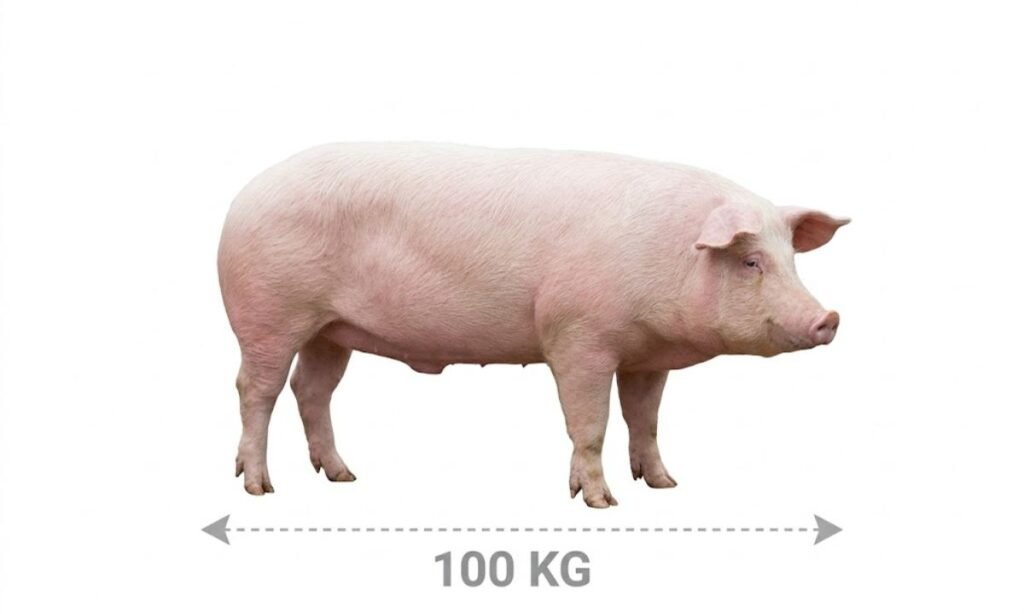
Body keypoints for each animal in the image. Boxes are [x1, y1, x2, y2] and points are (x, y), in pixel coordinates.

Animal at [217, 143, 849, 507]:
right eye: (750, 261)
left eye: (791, 260)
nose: (830, 317)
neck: (670, 256)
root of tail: (245, 196)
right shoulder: (578, 336)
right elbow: (590, 424)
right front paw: (600, 502)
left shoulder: (646, 357)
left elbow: (644, 421)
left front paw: (665, 485)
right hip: (268, 313)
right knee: (256, 390)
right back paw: (259, 487)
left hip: (329, 330)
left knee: (311, 390)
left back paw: (343, 477)